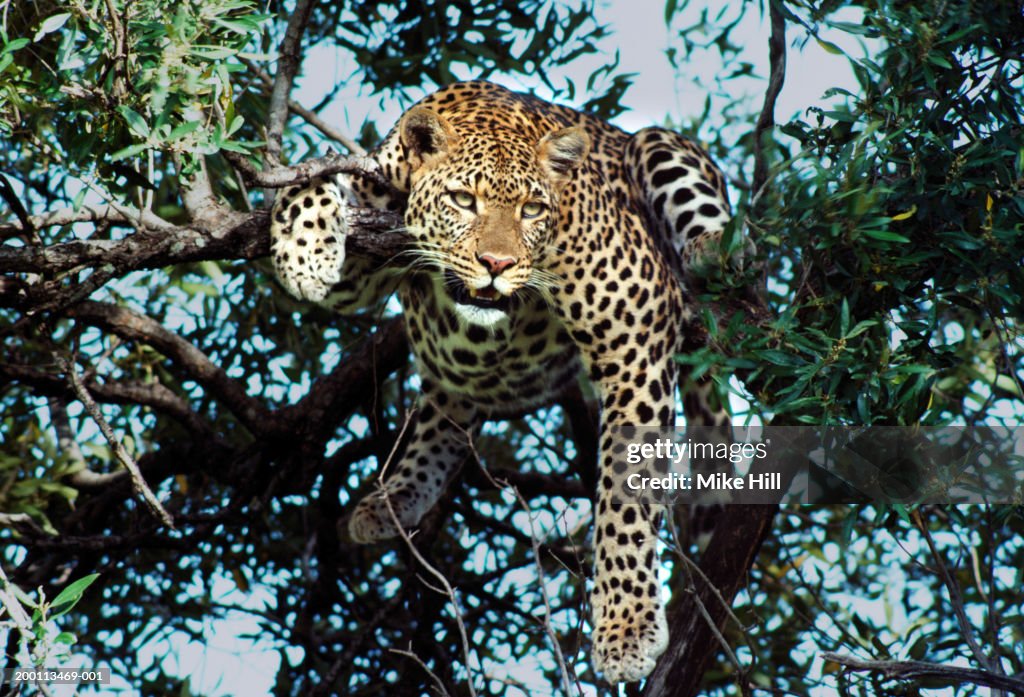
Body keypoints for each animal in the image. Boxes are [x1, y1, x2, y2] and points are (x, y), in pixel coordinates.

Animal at [272, 81, 733, 683]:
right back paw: (393, 499)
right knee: (443, 410)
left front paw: (626, 629)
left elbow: (626, 499)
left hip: (658, 146)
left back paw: (717, 252)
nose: (496, 263)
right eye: (462, 200)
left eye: (532, 210)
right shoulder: (366, 256)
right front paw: (303, 251)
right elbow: (310, 175)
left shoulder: (636, 329)